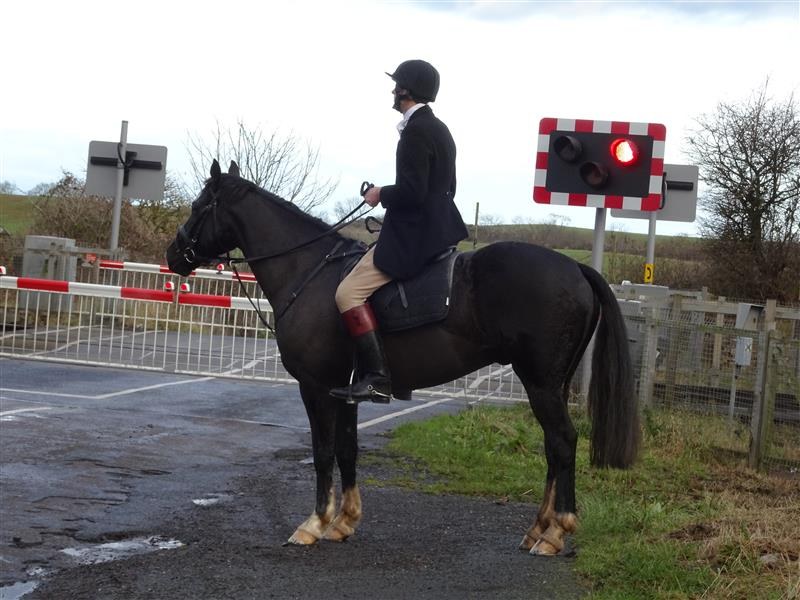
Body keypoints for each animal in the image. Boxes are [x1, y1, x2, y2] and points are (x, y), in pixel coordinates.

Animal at [166, 160, 640, 556]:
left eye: (198, 206)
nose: (173, 255)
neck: (308, 271)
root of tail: (576, 268)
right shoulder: (346, 390)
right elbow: (348, 450)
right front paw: (344, 521)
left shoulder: (316, 387)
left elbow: (322, 451)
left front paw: (314, 524)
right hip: (550, 383)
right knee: (552, 447)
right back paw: (538, 529)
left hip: (540, 382)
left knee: (562, 442)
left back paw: (556, 532)